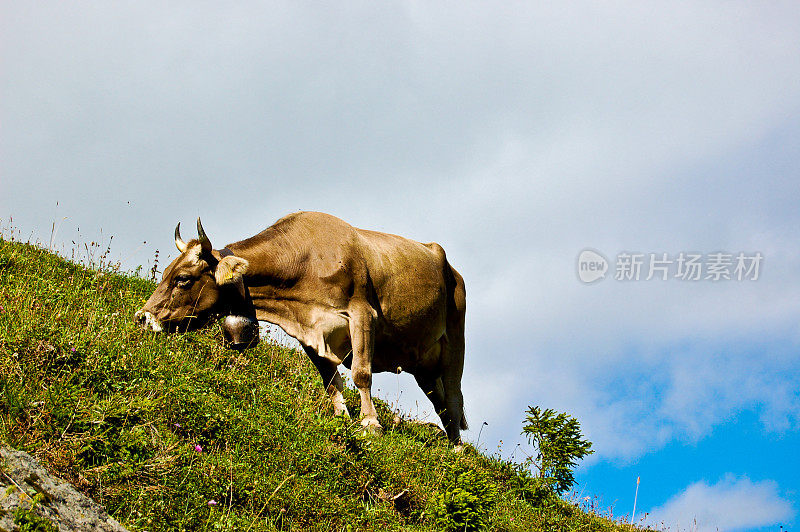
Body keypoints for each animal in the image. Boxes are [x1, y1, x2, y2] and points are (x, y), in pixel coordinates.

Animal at [134, 212, 466, 444]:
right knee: (441, 403)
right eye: (165, 272)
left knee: (452, 396)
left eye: (183, 279)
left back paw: (458, 449)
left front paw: (370, 424)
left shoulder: (363, 313)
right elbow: (330, 381)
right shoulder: (310, 333)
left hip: (454, 340)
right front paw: (341, 418)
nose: (142, 317)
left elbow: (361, 373)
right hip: (423, 363)